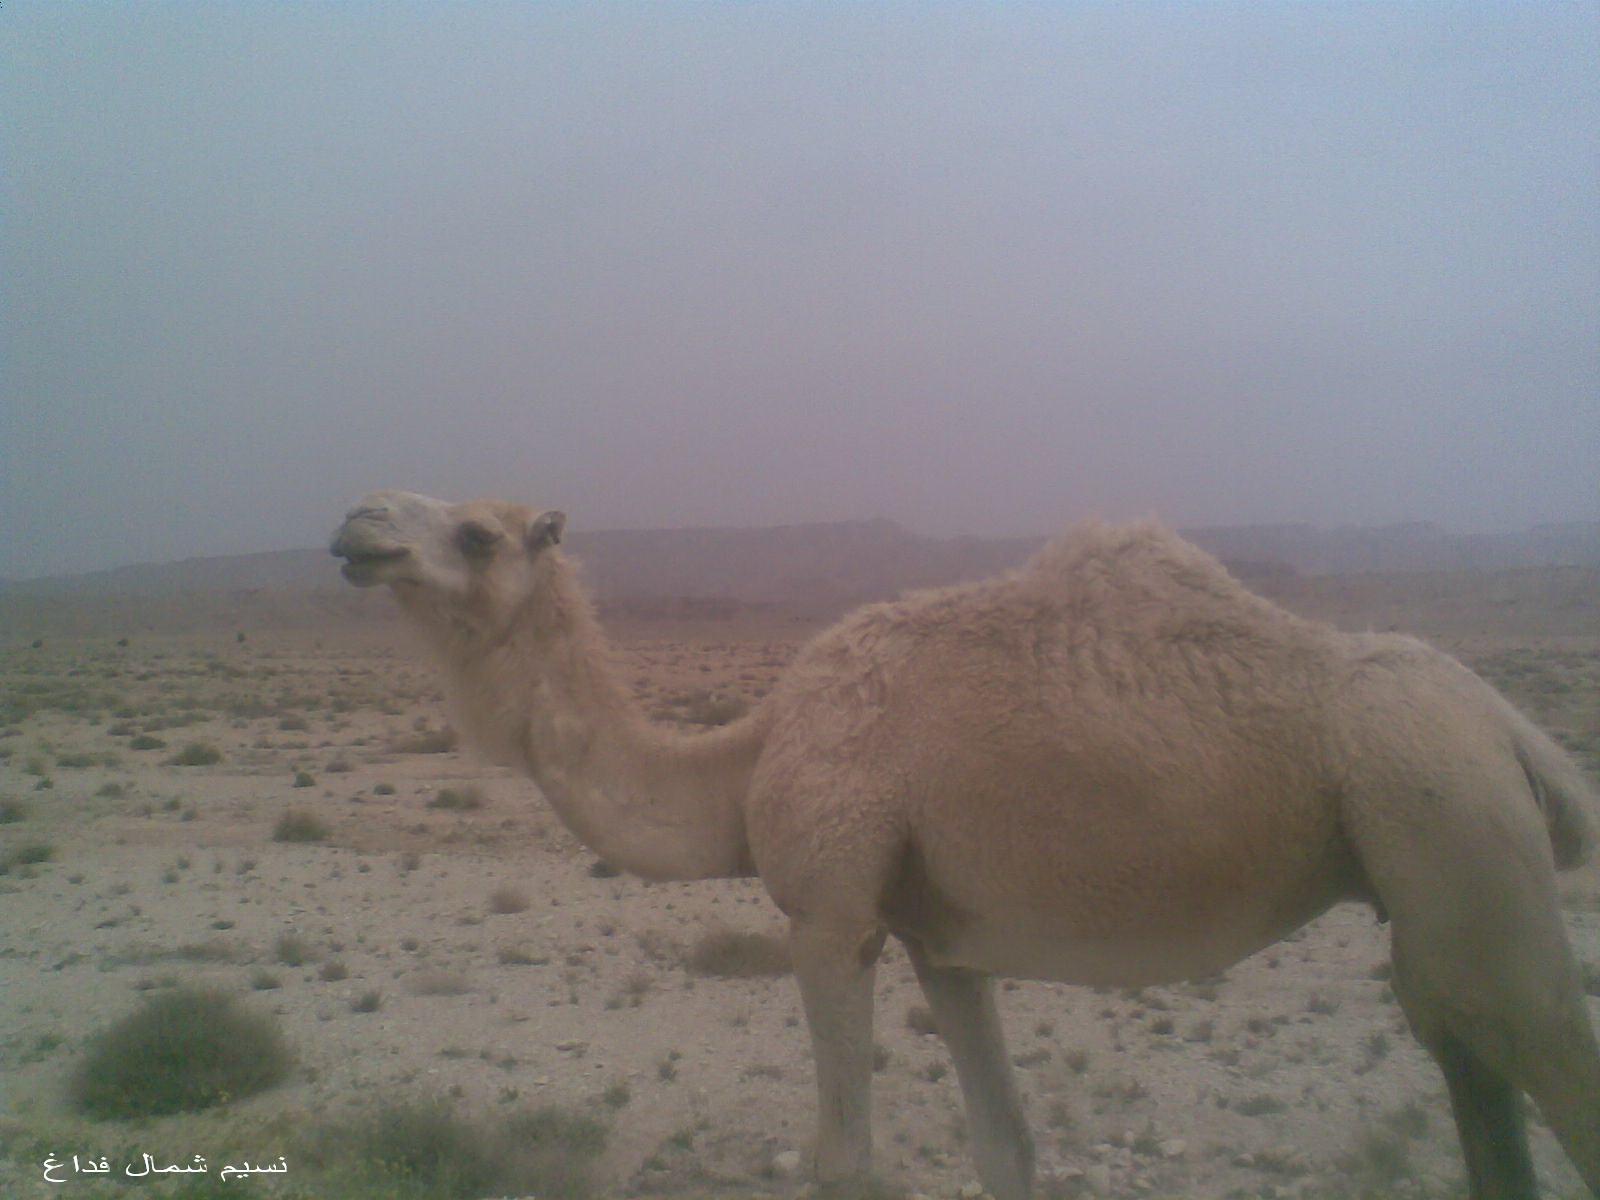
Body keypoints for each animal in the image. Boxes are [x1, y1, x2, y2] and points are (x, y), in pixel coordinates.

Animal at [331, 490, 1600, 1200]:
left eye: (476, 531)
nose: (356, 525)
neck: (749, 758)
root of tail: (1518, 734)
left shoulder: (831, 916)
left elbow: (843, 1160)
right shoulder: (942, 942)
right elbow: (1007, 1149)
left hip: (1448, 816)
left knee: (1545, 1051)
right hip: (1429, 886)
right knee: (1467, 1062)